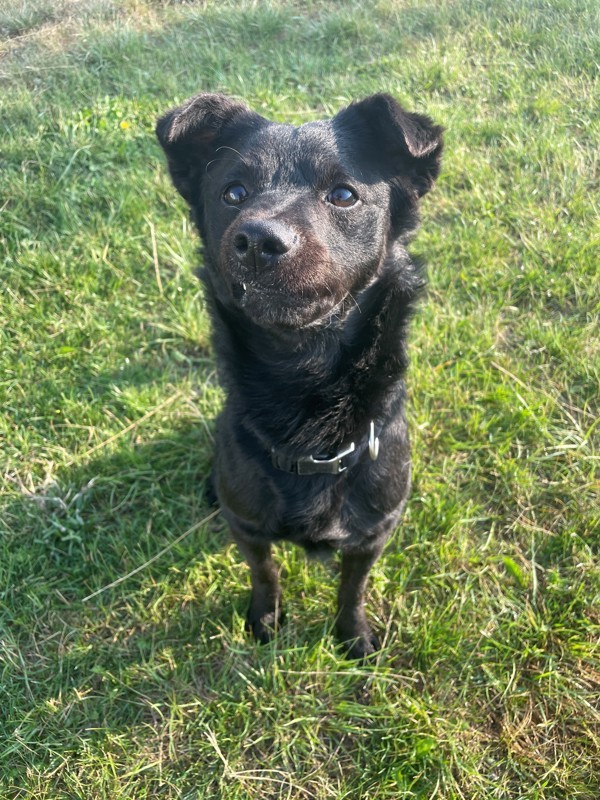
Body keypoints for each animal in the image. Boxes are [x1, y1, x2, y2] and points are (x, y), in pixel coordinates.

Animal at [157, 92, 442, 656]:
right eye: (234, 193)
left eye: (344, 195)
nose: (258, 239)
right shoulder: (248, 528)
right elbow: (265, 574)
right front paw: (265, 621)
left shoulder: (374, 534)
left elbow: (353, 588)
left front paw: (352, 636)